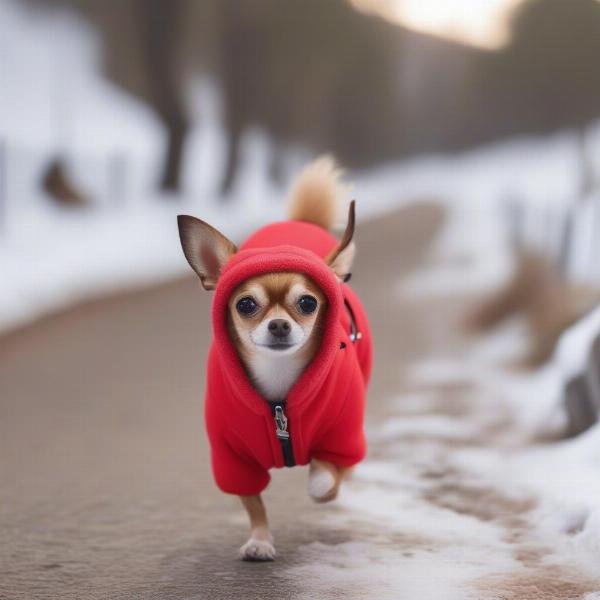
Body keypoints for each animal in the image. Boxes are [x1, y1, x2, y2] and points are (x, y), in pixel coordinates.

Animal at [177, 157, 370, 560]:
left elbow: (323, 480)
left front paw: (322, 484)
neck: (280, 386)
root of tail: (300, 222)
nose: (279, 325)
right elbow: (254, 503)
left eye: (308, 303)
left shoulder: (345, 441)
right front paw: (260, 540)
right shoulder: (232, 461)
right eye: (246, 304)